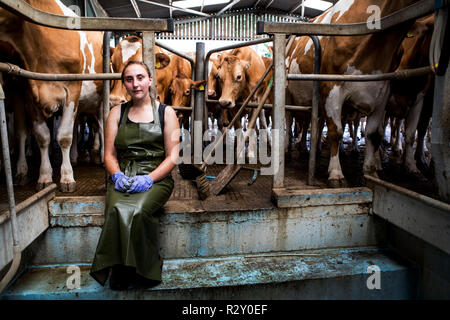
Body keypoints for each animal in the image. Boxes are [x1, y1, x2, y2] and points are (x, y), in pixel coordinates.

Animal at [0, 0, 103, 190]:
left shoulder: (72, 91)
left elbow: (64, 136)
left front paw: (67, 177)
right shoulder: (29, 94)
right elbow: (43, 136)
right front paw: (45, 177)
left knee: (99, 125)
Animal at [288, 0, 426, 188]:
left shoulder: (383, 93)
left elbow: (374, 134)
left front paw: (371, 173)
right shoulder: (332, 88)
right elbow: (336, 131)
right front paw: (336, 173)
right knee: (289, 121)